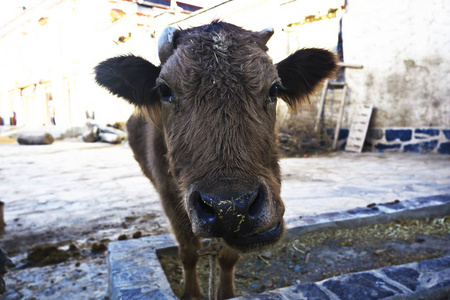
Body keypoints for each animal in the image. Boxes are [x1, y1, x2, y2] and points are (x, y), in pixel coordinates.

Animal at [94, 19, 334, 298]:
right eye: (164, 90)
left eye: (274, 88)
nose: (231, 208)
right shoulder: (169, 199)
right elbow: (188, 253)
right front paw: (191, 293)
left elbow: (228, 258)